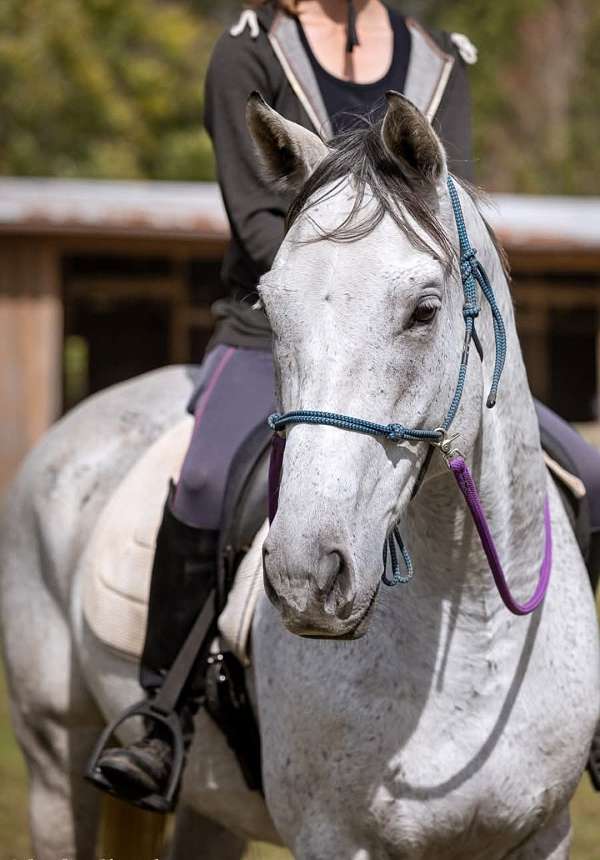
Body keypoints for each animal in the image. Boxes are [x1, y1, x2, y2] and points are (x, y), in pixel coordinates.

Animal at [1, 91, 599, 859]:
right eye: (270, 304)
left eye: (424, 311)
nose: (306, 575)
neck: (472, 636)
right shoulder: (334, 837)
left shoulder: (541, 833)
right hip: (54, 761)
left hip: (209, 809)